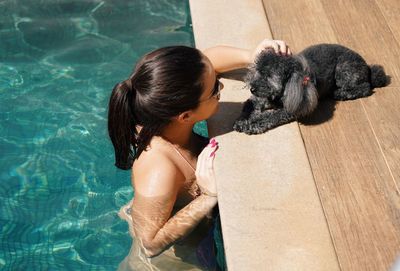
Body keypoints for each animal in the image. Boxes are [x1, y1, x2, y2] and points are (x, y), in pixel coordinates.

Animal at [233, 43, 390, 135]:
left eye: (269, 76)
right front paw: (242, 120)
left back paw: (340, 93)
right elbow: (249, 105)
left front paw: (252, 123)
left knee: (365, 87)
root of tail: (367, 67)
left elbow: (271, 116)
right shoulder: (260, 98)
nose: (252, 89)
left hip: (343, 70)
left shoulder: (291, 109)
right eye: (258, 71)